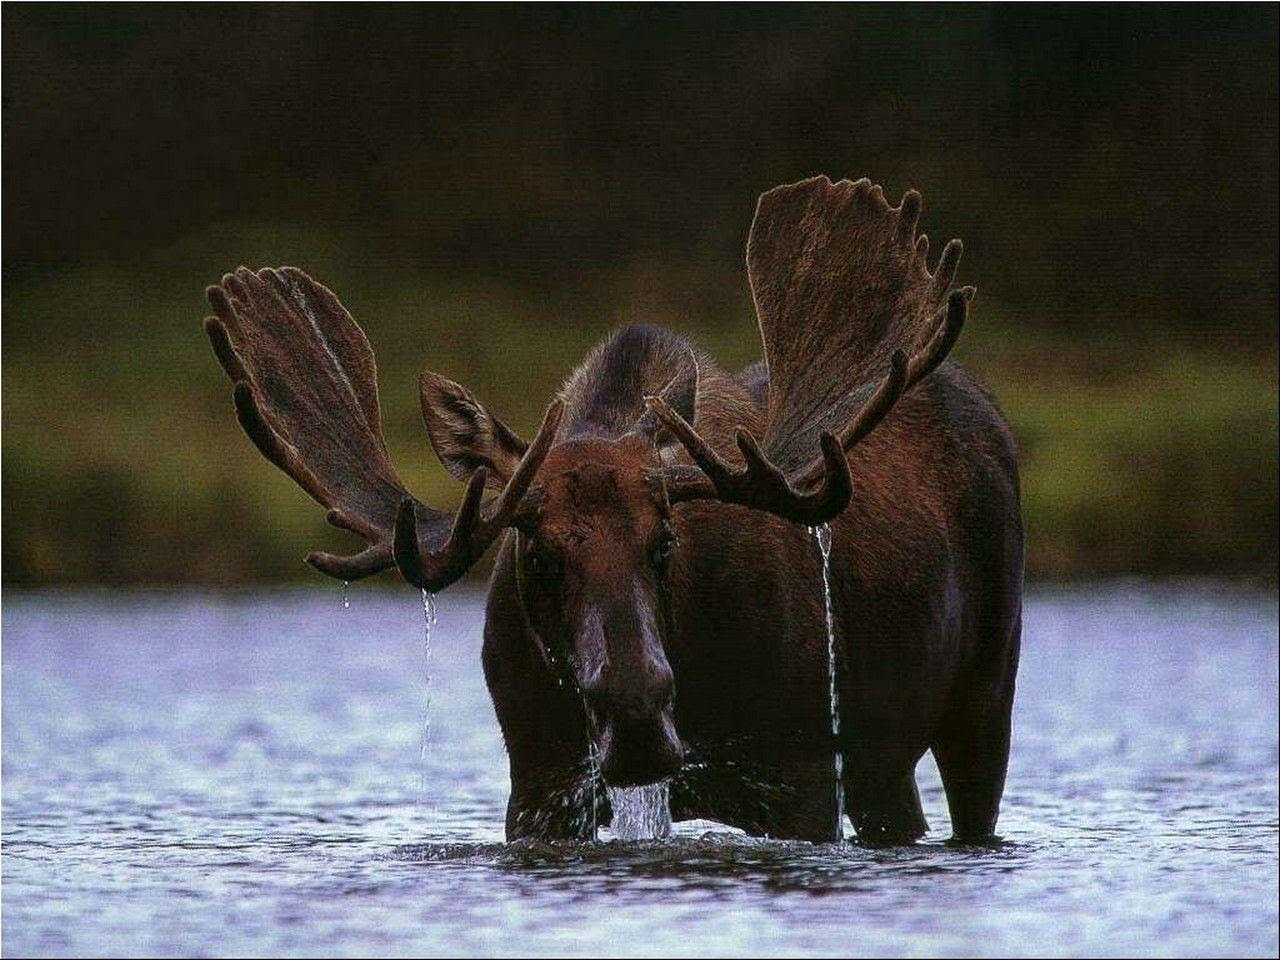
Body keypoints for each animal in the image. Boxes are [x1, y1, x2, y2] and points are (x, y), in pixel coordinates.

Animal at [204, 176, 1023, 845]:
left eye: (666, 542)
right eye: (539, 553)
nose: (635, 712)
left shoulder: (803, 772)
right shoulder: (540, 785)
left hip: (987, 688)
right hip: (886, 758)